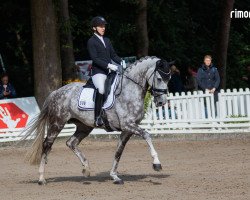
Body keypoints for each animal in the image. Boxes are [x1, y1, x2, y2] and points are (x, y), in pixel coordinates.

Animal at [23, 55, 172, 184]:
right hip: (57, 123)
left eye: (169, 78)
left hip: (84, 126)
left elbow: (118, 151)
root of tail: (56, 92)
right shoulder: (128, 125)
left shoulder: (127, 130)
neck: (129, 90)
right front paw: (156, 163)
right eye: (159, 78)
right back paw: (41, 178)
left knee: (71, 142)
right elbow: (147, 135)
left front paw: (114, 176)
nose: (161, 102)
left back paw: (86, 169)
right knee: (47, 145)